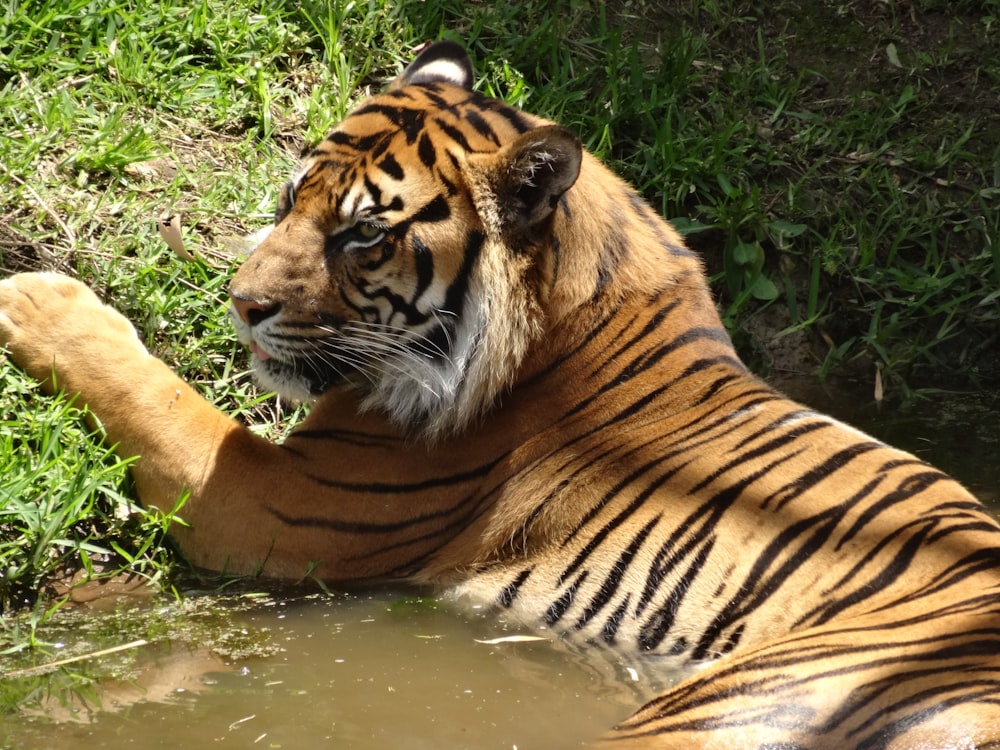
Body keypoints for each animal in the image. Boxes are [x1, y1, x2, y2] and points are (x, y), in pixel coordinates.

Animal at [1, 39, 1000, 748]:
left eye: (362, 234)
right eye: (289, 201)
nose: (242, 304)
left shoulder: (271, 502)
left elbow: (159, 394)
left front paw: (37, 296)